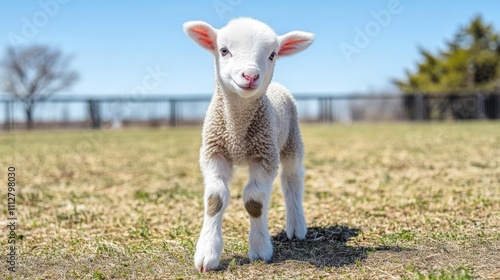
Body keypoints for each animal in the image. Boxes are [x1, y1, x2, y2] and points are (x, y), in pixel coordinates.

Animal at [184, 17, 314, 272]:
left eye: (272, 54)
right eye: (224, 50)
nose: (251, 75)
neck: (237, 133)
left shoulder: (265, 156)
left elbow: (254, 201)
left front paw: (260, 249)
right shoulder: (214, 152)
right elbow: (215, 199)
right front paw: (207, 254)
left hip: (292, 141)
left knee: (292, 180)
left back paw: (296, 226)